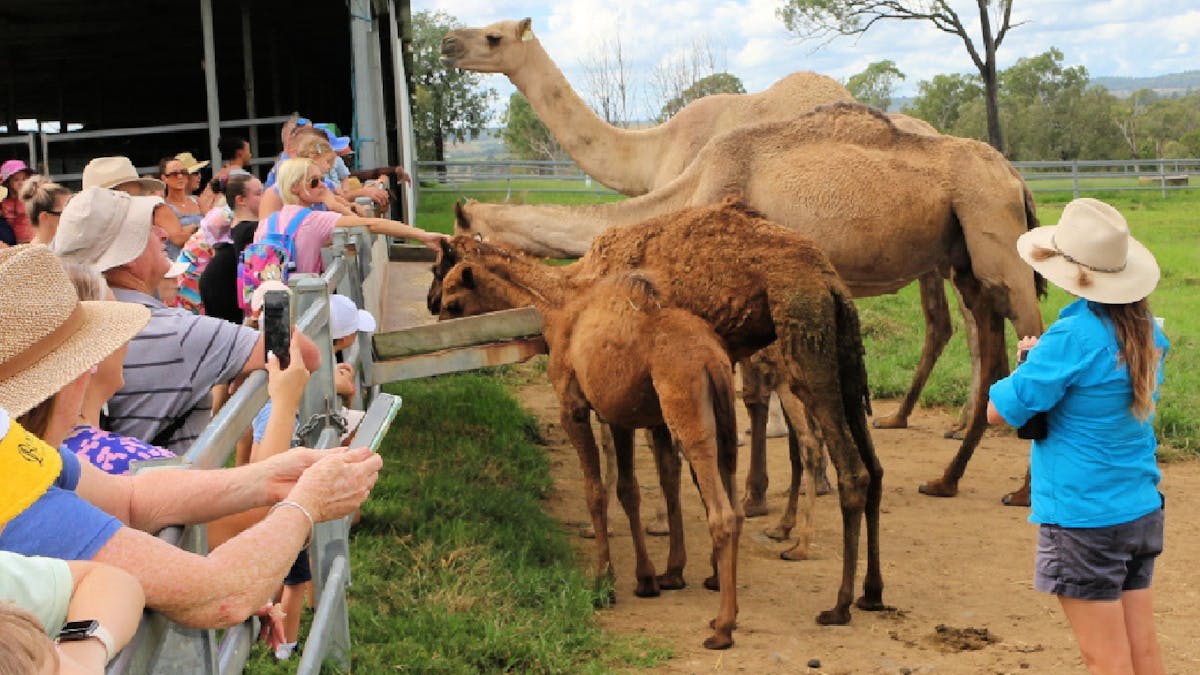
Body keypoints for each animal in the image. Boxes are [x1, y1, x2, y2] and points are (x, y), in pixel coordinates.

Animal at [432, 200, 884, 627]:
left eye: (440, 269)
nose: (431, 304)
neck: (566, 295)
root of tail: (827, 278)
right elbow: (670, 474)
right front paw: (678, 569)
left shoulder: (611, 395)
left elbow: (634, 473)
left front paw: (638, 568)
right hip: (843, 352)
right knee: (873, 467)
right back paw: (870, 592)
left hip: (803, 345)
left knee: (847, 467)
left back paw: (835, 600)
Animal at [444, 103, 1045, 503]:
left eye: (451, 248)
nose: (436, 303)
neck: (692, 188)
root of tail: (1016, 176)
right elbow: (759, 389)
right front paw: (784, 486)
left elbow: (758, 389)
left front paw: (783, 488)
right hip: (965, 260)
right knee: (993, 349)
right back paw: (946, 479)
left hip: (1000, 246)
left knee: (1031, 337)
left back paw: (1020, 491)